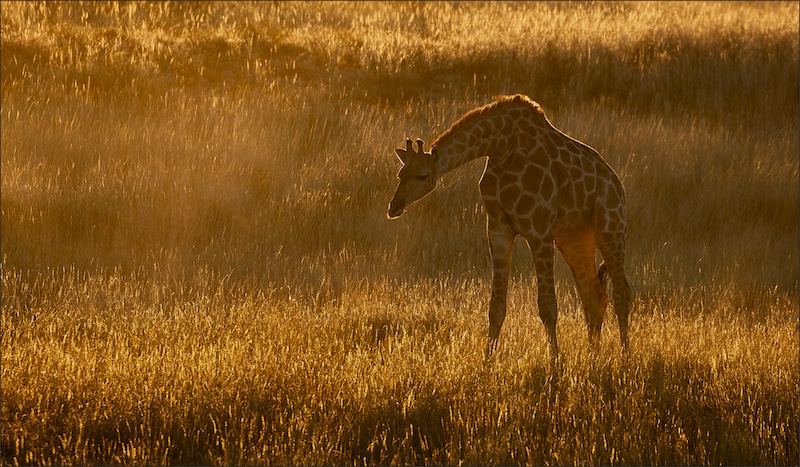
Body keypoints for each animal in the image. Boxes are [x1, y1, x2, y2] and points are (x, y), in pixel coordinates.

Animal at [388, 94, 631, 359]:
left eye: (422, 176)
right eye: (400, 174)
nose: (394, 206)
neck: (501, 148)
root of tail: (616, 182)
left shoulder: (539, 230)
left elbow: (547, 307)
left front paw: (556, 361)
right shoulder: (498, 229)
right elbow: (496, 306)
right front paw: (487, 360)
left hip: (610, 227)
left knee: (621, 294)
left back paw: (625, 358)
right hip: (574, 238)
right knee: (595, 297)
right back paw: (593, 358)